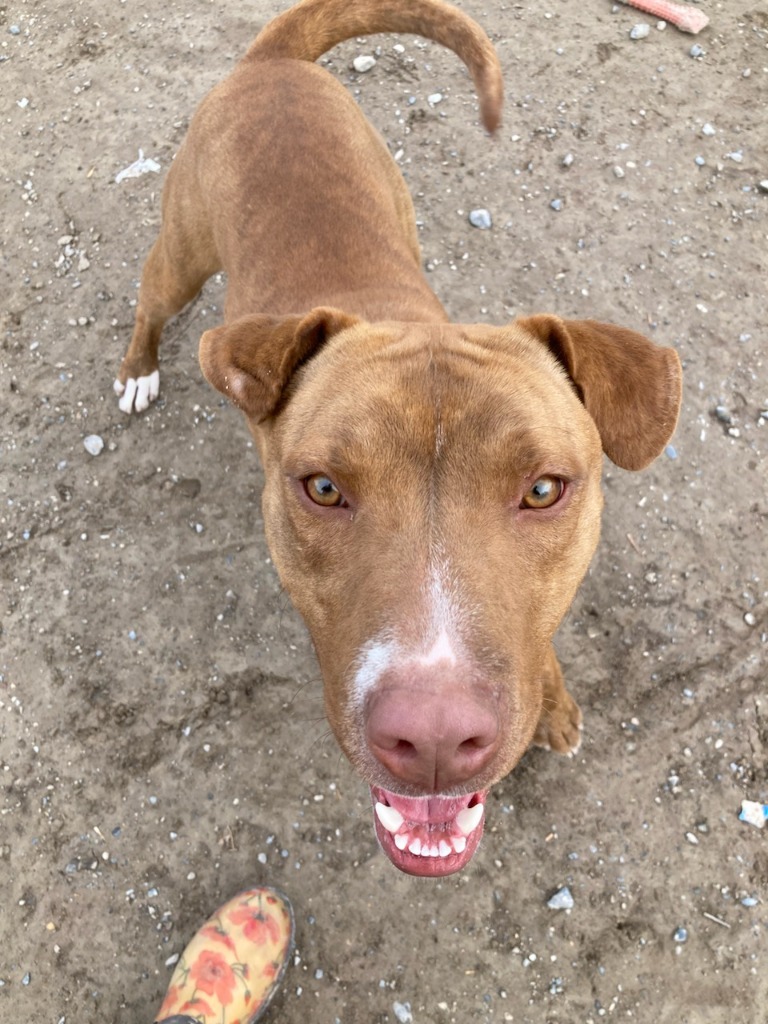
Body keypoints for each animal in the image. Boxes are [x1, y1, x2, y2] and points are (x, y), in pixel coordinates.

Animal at [114, 2, 679, 880]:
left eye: (543, 489)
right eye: (323, 488)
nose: (437, 738)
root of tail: (272, 62)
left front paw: (553, 699)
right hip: (182, 253)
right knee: (151, 299)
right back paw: (138, 370)